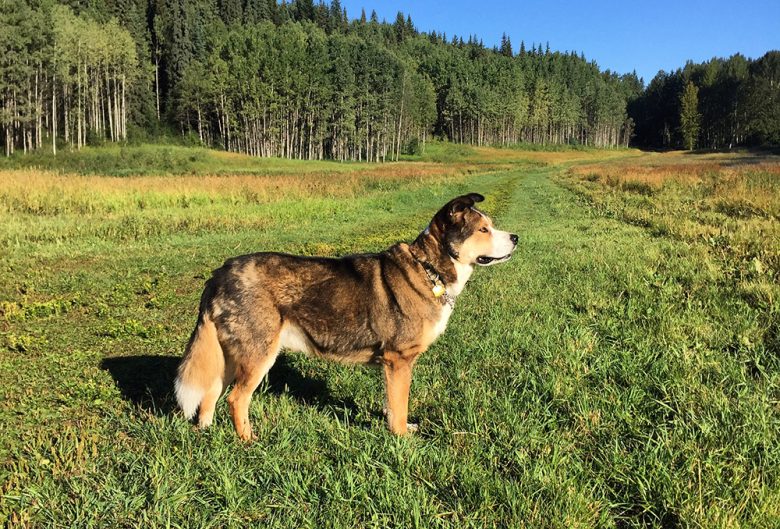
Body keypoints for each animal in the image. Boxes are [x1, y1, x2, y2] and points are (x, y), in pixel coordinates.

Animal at [177, 192, 516, 440]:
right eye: (483, 229)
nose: (516, 237)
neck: (428, 269)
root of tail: (220, 273)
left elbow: (392, 405)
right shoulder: (399, 361)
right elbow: (400, 405)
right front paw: (402, 438)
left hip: (230, 354)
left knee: (210, 393)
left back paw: (206, 432)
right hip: (258, 354)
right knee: (236, 399)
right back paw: (249, 441)